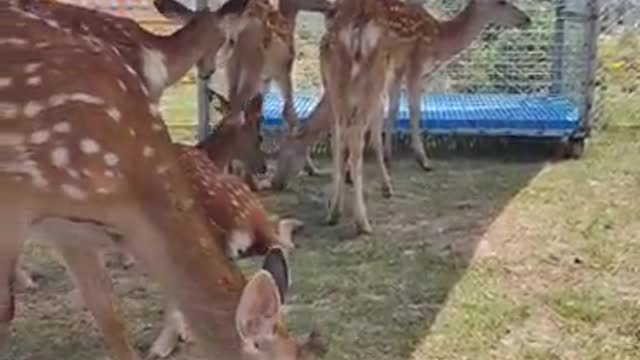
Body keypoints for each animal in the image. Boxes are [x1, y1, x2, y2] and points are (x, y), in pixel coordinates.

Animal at [382, 0, 532, 171]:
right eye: (501, 2)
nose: (527, 19)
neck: (437, 38)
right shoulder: (414, 63)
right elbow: (414, 111)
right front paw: (424, 161)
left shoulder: (397, 68)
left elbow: (393, 108)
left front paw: (387, 157)